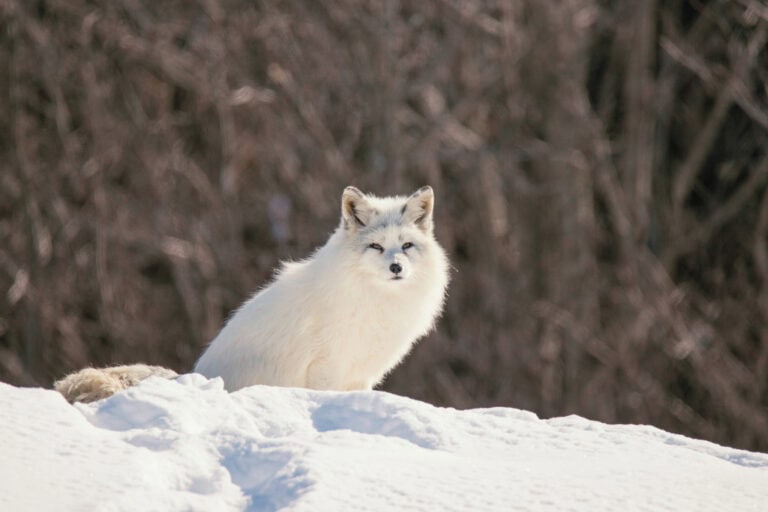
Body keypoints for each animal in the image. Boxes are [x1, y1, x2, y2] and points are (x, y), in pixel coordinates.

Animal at [55, 186, 450, 402]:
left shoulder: (361, 375)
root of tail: (192, 376)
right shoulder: (326, 367)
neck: (373, 300)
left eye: (406, 245)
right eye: (376, 247)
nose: (396, 267)